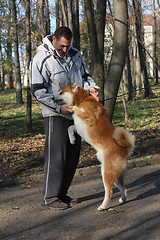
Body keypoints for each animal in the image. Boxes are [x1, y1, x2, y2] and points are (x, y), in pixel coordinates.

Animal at [58, 82, 135, 210]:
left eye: (60, 92)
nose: (52, 97)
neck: (82, 100)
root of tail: (124, 150)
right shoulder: (78, 127)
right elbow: (70, 128)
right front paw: (72, 139)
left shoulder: (88, 117)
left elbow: (75, 109)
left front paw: (72, 108)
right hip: (114, 176)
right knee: (124, 189)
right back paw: (122, 199)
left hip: (106, 173)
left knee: (109, 192)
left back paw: (103, 206)